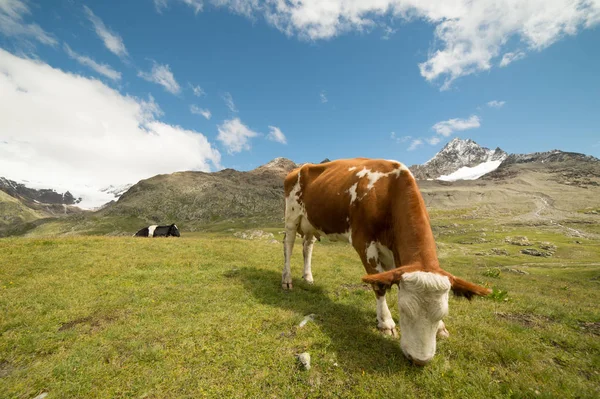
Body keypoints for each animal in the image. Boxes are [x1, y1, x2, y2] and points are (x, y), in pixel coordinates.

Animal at [284, 158, 490, 368]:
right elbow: (379, 286)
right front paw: (386, 323)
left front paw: (441, 328)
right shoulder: (363, 242)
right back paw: (287, 280)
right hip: (292, 216)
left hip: (311, 222)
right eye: (403, 310)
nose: (420, 360)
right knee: (288, 245)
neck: (388, 191)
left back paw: (308, 277)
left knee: (307, 246)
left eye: (443, 313)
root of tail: (301, 167)